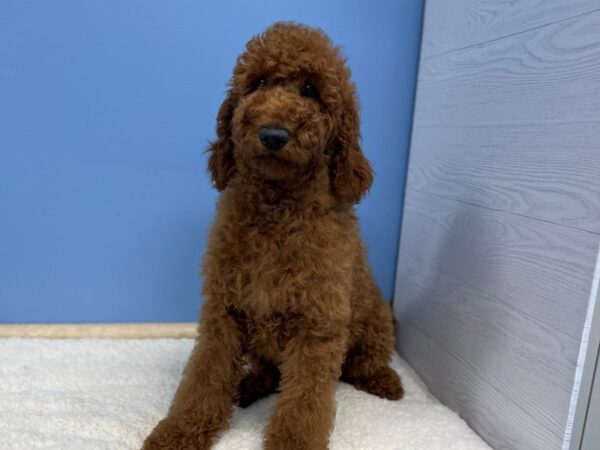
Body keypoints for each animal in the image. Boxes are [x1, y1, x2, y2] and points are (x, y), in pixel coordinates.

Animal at [142, 22, 404, 450]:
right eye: (259, 83)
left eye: (310, 90)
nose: (273, 134)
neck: (277, 209)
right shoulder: (224, 312)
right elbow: (205, 379)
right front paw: (179, 431)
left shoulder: (317, 323)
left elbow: (303, 403)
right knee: (269, 373)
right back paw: (247, 387)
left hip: (375, 321)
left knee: (361, 364)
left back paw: (385, 381)